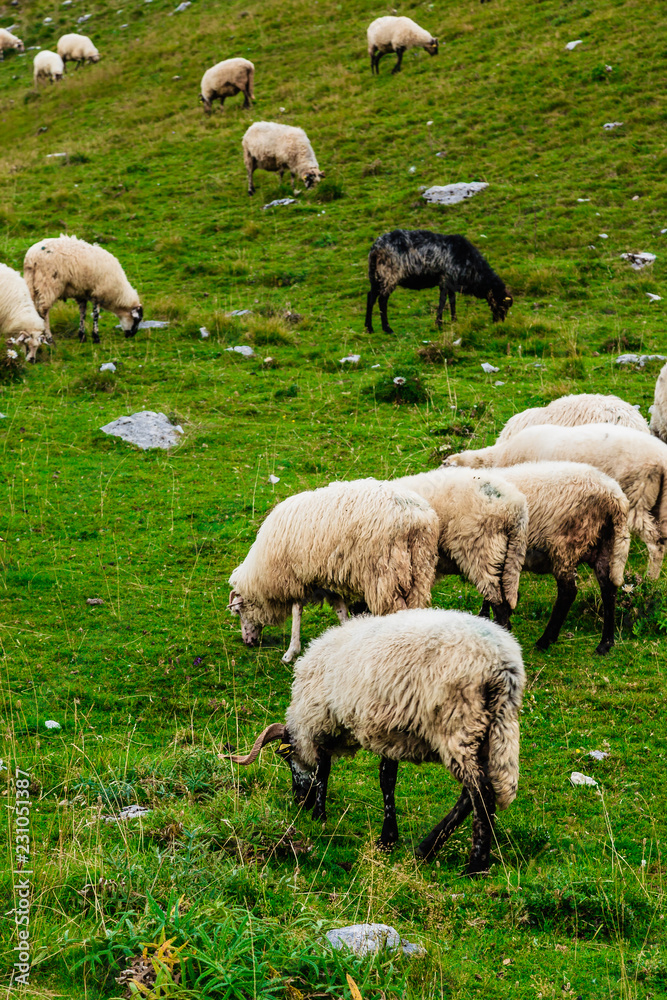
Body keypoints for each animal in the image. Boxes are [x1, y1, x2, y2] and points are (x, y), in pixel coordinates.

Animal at [229, 478, 439, 663]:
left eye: (238, 611)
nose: (248, 642)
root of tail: (414, 515)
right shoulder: (325, 579)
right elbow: (340, 608)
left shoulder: (295, 578)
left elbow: (297, 611)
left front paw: (290, 652)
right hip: (420, 567)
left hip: (385, 574)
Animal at [229, 609, 525, 876]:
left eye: (286, 757)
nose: (299, 801)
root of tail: (502, 665)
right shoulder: (389, 733)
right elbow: (387, 780)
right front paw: (388, 838)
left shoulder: (325, 721)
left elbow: (324, 771)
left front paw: (319, 816)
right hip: (490, 730)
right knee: (471, 793)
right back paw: (426, 849)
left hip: (459, 724)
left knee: (481, 793)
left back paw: (475, 865)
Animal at [365, 230, 513, 335]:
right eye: (503, 304)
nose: (499, 323)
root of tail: (376, 248)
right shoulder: (445, 279)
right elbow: (443, 301)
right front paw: (439, 323)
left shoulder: (452, 282)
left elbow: (452, 301)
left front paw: (453, 320)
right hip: (389, 274)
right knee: (382, 300)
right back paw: (387, 329)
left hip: (376, 275)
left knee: (371, 297)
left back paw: (369, 328)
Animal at [443, 423, 667, 580]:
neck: (499, 458)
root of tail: (661, 458)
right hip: (661, 502)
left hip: (637, 494)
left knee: (655, 541)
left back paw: (649, 579)